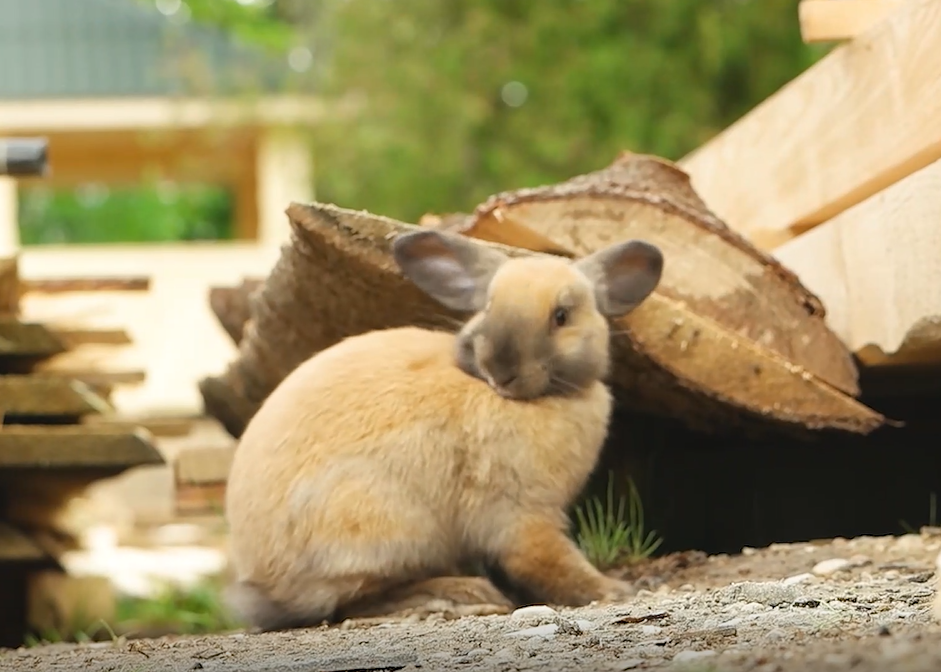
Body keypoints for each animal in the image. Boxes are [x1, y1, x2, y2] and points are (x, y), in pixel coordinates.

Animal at [224, 226, 664, 632]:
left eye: (562, 316)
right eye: (489, 307)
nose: (501, 368)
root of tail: (266, 581)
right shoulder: (522, 515)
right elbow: (548, 561)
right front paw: (614, 590)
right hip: (385, 527)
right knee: (355, 601)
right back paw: (462, 593)